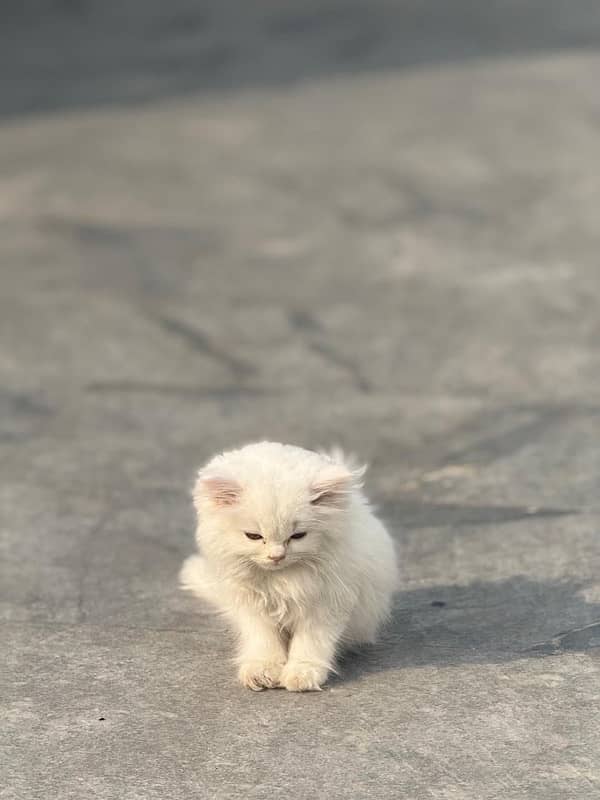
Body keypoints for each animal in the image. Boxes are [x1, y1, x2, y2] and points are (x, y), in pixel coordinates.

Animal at [182, 440, 398, 692]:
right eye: (254, 536)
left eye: (297, 536)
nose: (277, 556)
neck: (280, 580)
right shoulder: (252, 606)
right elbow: (264, 641)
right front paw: (262, 671)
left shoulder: (326, 603)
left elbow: (311, 643)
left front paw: (303, 674)